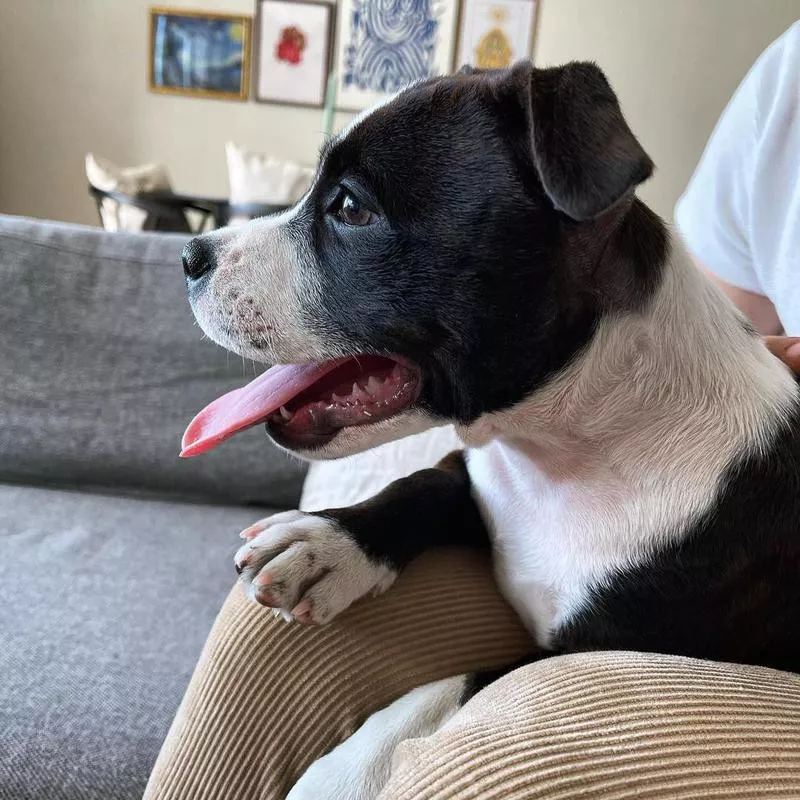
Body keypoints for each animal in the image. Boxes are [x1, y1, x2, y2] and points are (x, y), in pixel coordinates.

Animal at [181, 61, 800, 792]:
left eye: (350, 209)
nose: (189, 255)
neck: (558, 448)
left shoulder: (602, 654)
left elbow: (465, 683)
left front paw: (346, 770)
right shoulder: (473, 476)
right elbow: (418, 486)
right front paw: (327, 544)